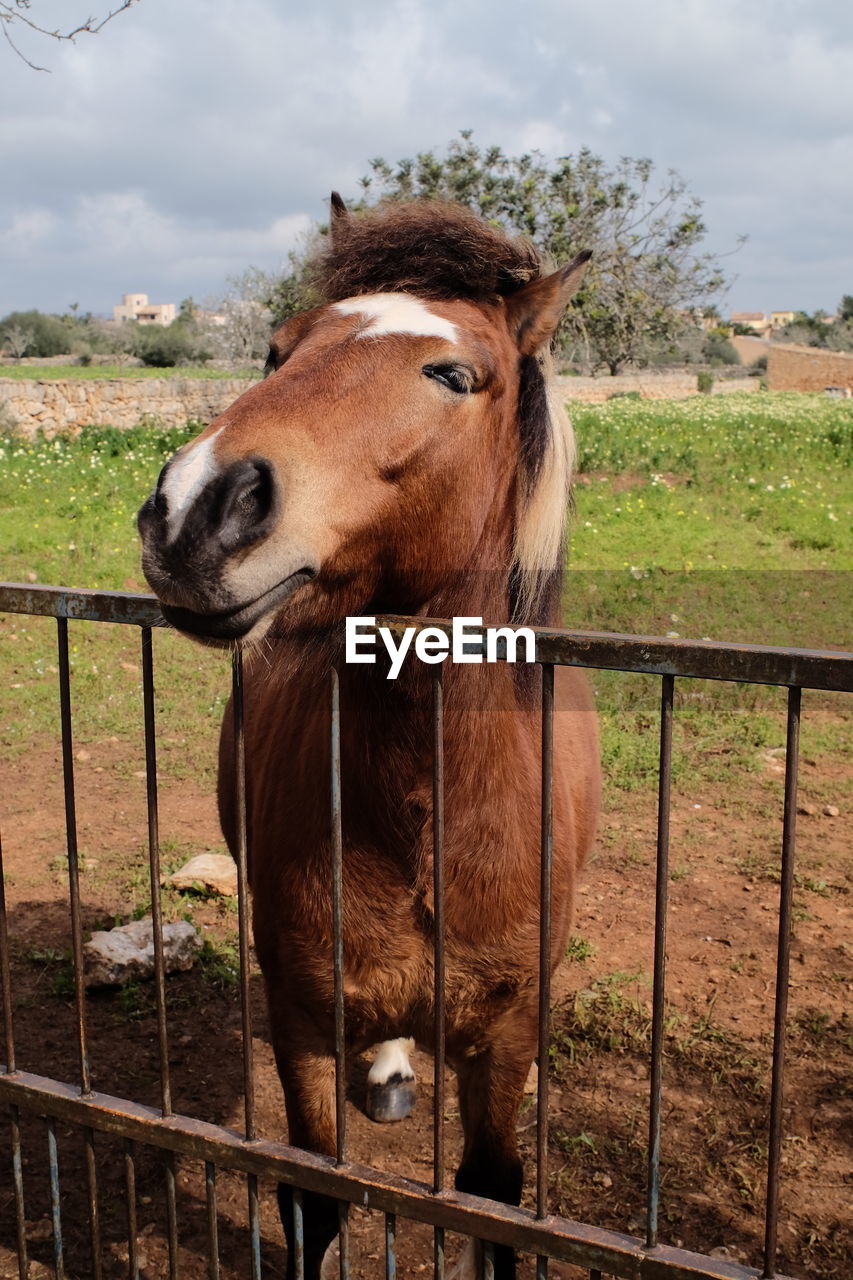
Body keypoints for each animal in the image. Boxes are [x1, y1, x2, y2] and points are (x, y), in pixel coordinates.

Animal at [137, 194, 596, 1274]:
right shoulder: (301, 1017)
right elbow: (314, 1197)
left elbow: (494, 1205)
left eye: (452, 374)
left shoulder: (506, 1041)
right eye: (276, 348)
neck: (426, 817)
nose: (197, 510)